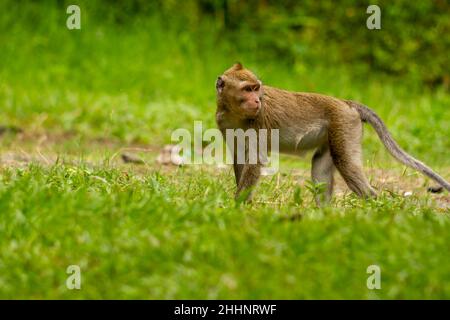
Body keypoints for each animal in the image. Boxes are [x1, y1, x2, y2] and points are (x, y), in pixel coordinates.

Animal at [215, 63, 450, 205]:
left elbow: (255, 160)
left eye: (256, 88)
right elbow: (240, 158)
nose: (257, 101)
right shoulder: (223, 123)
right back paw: (324, 214)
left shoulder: (259, 119)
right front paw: (243, 202)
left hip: (344, 125)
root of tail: (346, 103)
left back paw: (374, 206)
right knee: (321, 164)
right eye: (247, 89)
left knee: (346, 163)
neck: (235, 112)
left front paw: (238, 205)